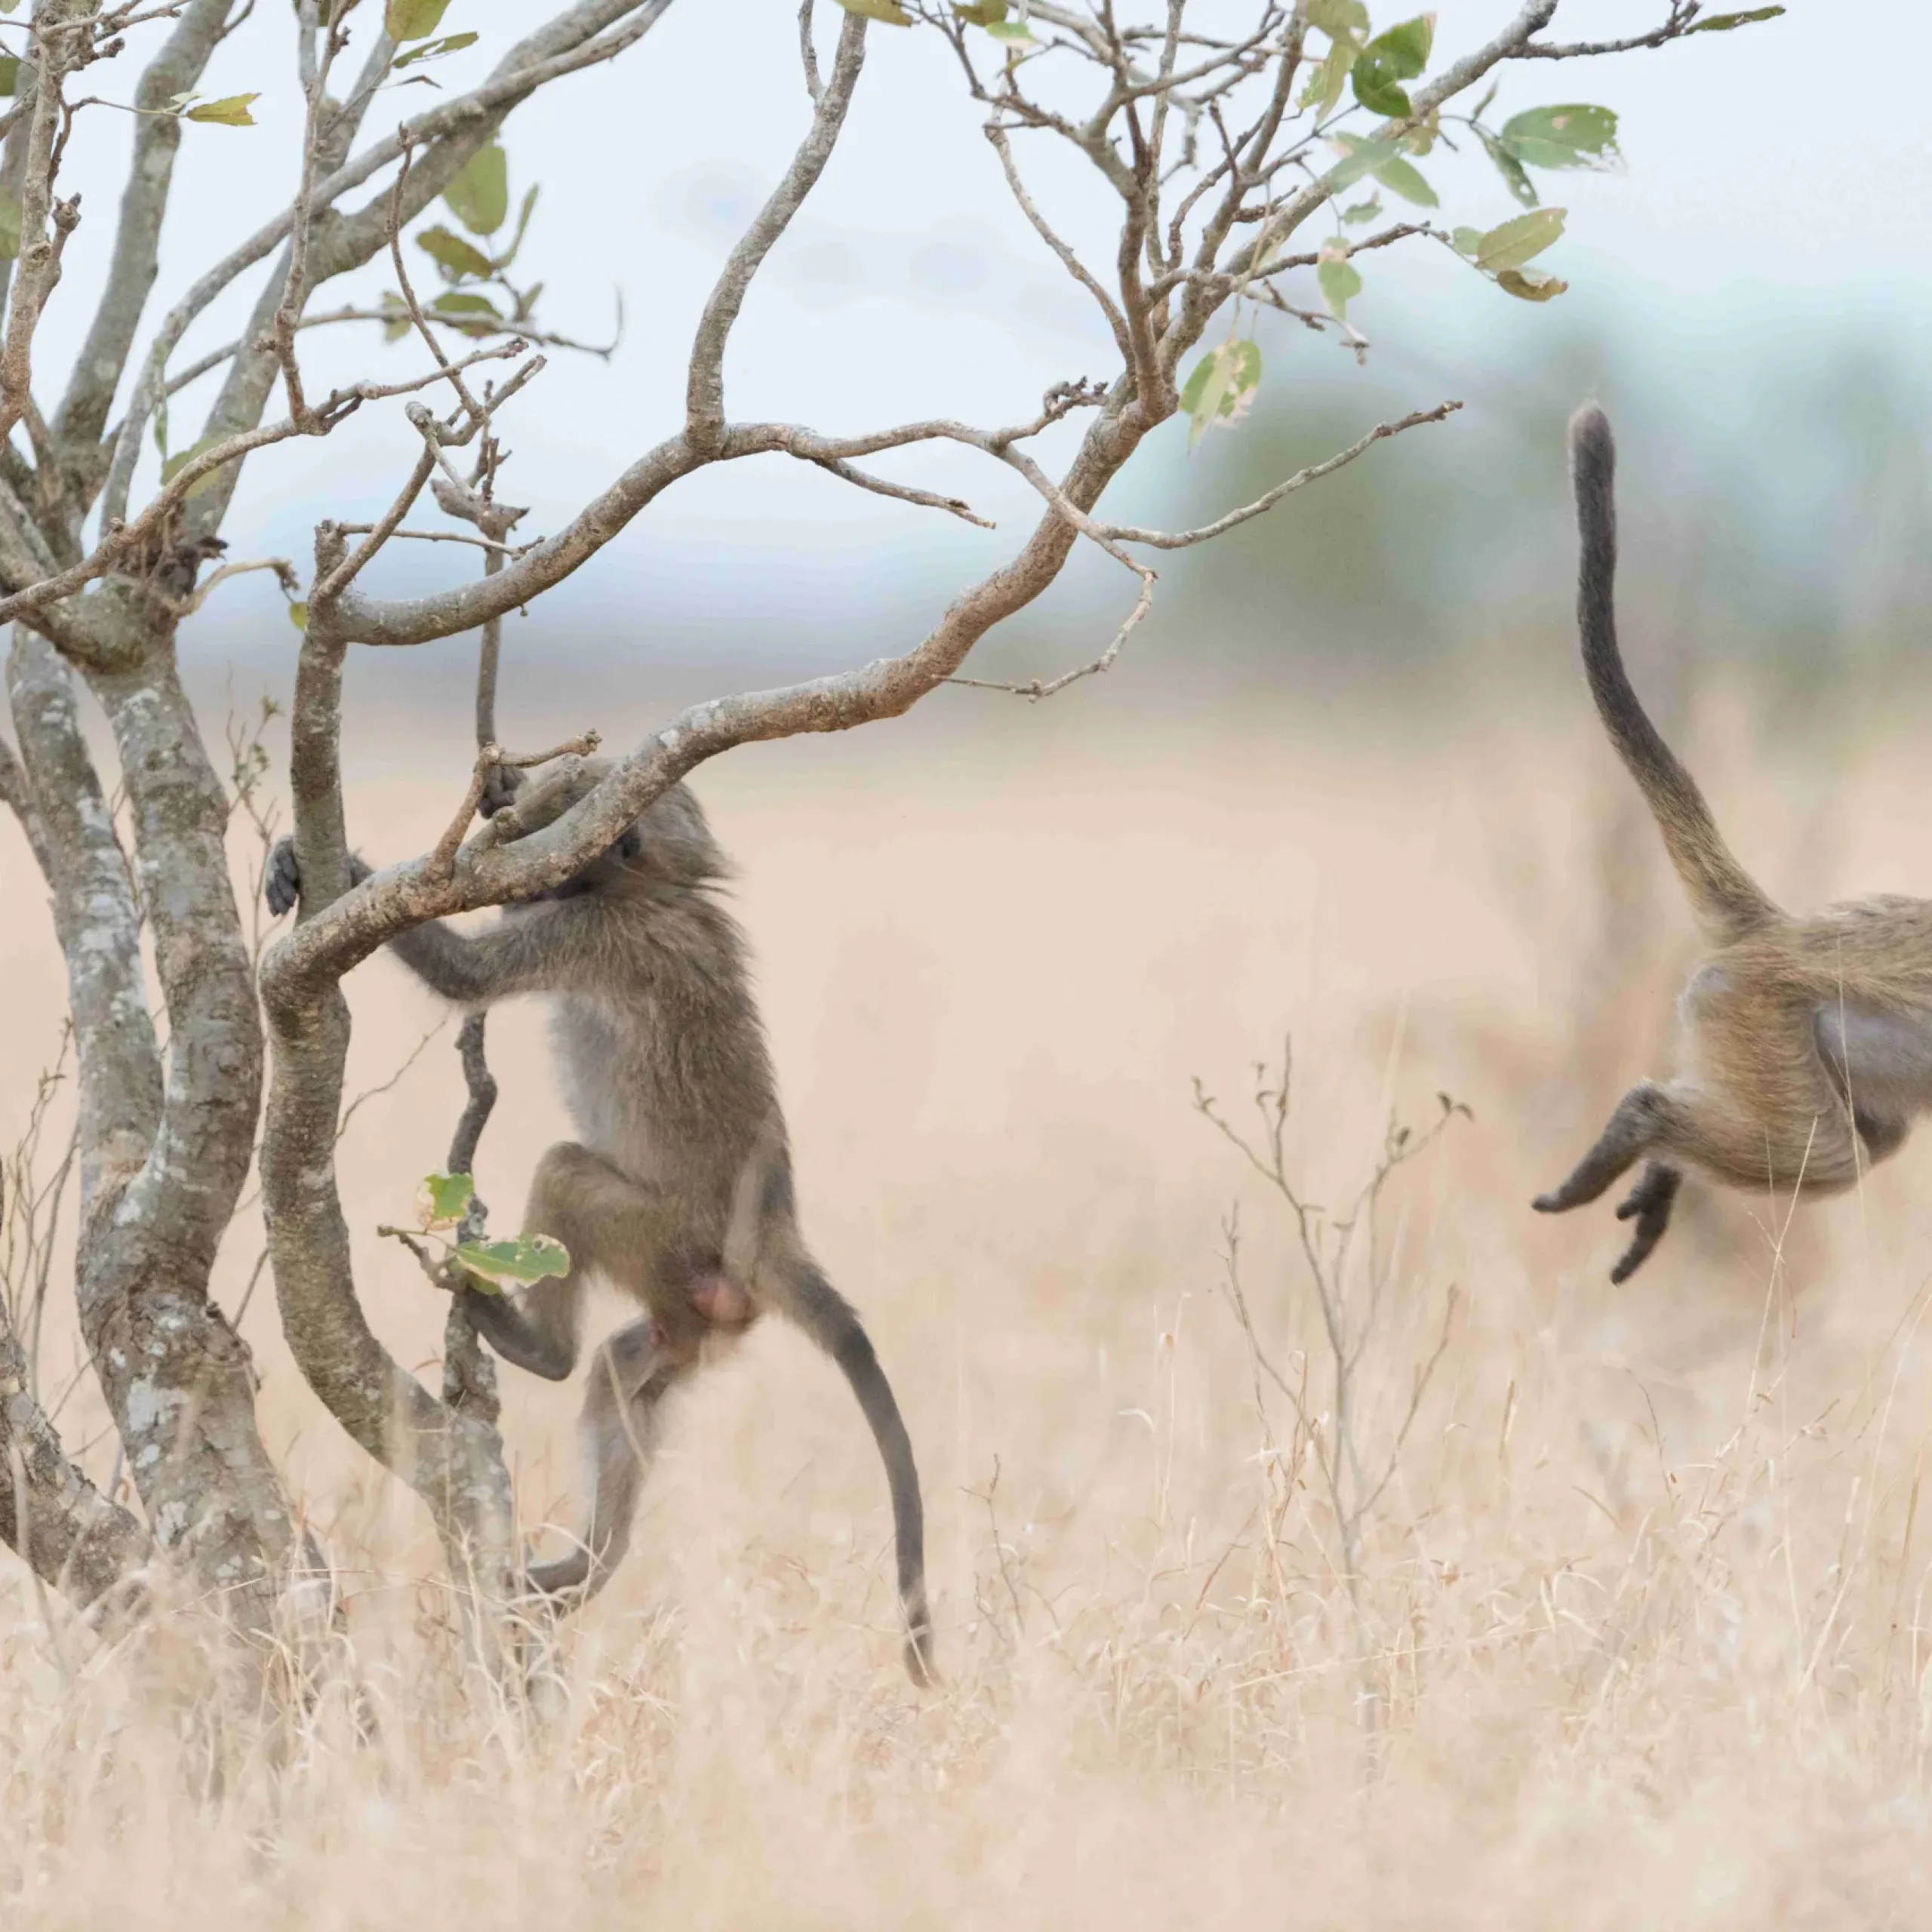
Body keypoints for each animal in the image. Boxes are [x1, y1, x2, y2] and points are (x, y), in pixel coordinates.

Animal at [265, 760, 935, 1684]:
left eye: (563, 807)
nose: (509, 795)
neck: (652, 887)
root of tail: (771, 1231)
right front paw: (292, 861)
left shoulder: (587, 933)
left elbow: (470, 976)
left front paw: (350, 875)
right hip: (697, 1312)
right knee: (624, 1378)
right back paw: (587, 1566)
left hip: (656, 1235)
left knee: (567, 1184)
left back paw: (533, 1347)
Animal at [1533, 403, 1932, 1283]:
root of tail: (1780, 931)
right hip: (1753, 1013)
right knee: (1828, 1155)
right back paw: (1643, 1125)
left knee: (1863, 1139)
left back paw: (1660, 1164)